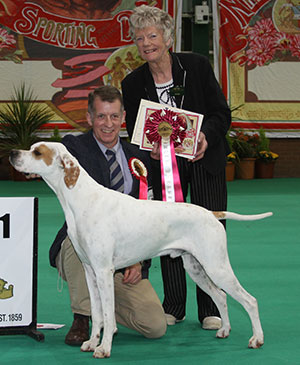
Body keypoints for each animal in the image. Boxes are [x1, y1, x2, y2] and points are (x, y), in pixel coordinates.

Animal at [9, 142, 272, 358]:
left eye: (37, 152)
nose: (12, 153)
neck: (81, 199)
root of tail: (210, 213)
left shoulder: (104, 271)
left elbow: (107, 315)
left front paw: (104, 348)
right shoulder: (89, 272)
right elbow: (96, 312)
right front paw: (92, 343)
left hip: (217, 266)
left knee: (250, 300)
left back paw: (257, 339)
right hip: (196, 268)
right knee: (221, 296)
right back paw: (225, 330)